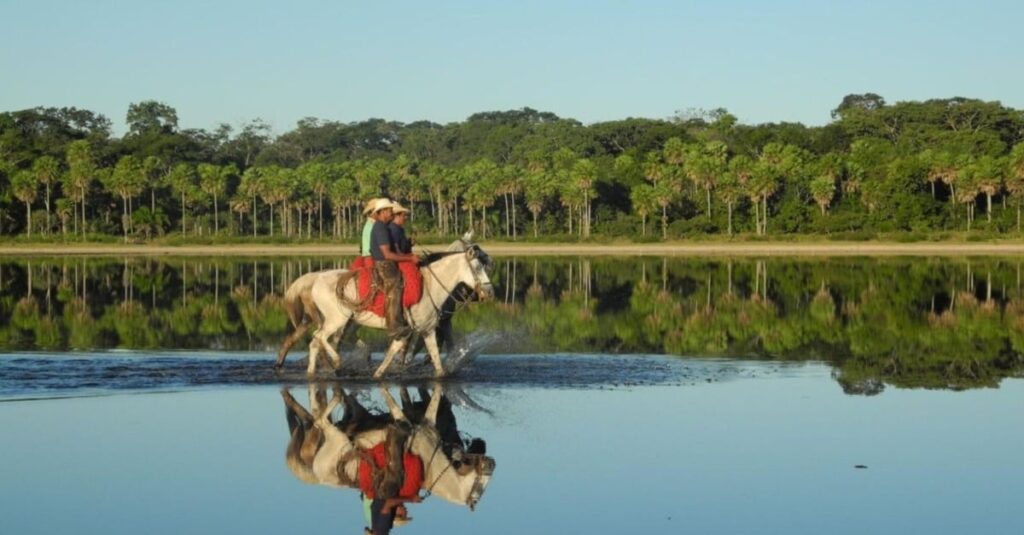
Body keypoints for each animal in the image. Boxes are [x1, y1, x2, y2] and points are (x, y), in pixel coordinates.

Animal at [305, 239, 493, 377]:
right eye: (478, 267)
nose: (490, 291)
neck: (430, 285)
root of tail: (317, 279)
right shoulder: (417, 329)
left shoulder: (424, 329)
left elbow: (427, 356)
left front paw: (379, 374)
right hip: (337, 320)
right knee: (320, 337)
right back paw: (336, 362)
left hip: (348, 322)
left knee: (318, 342)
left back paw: (314, 372)